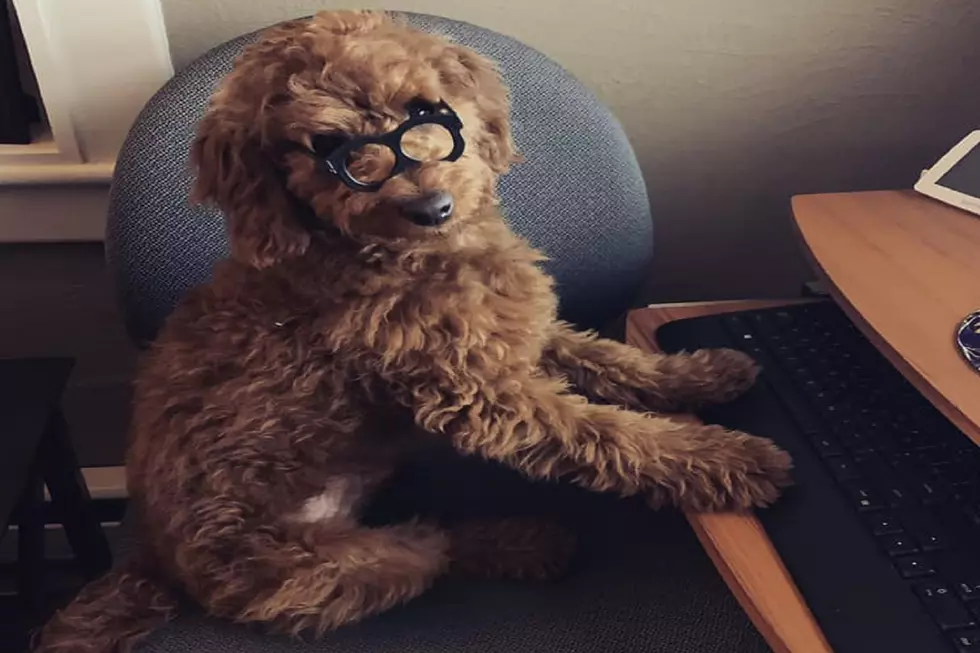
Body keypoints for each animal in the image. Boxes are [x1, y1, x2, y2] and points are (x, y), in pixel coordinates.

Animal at [36, 11, 788, 652]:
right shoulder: (482, 396)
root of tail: (153, 559)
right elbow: (608, 435)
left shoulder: (515, 333)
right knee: (435, 548)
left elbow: (604, 357)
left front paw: (702, 373)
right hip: (325, 568)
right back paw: (526, 541)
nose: (433, 205)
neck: (406, 256)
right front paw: (728, 461)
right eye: (330, 148)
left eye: (426, 111)